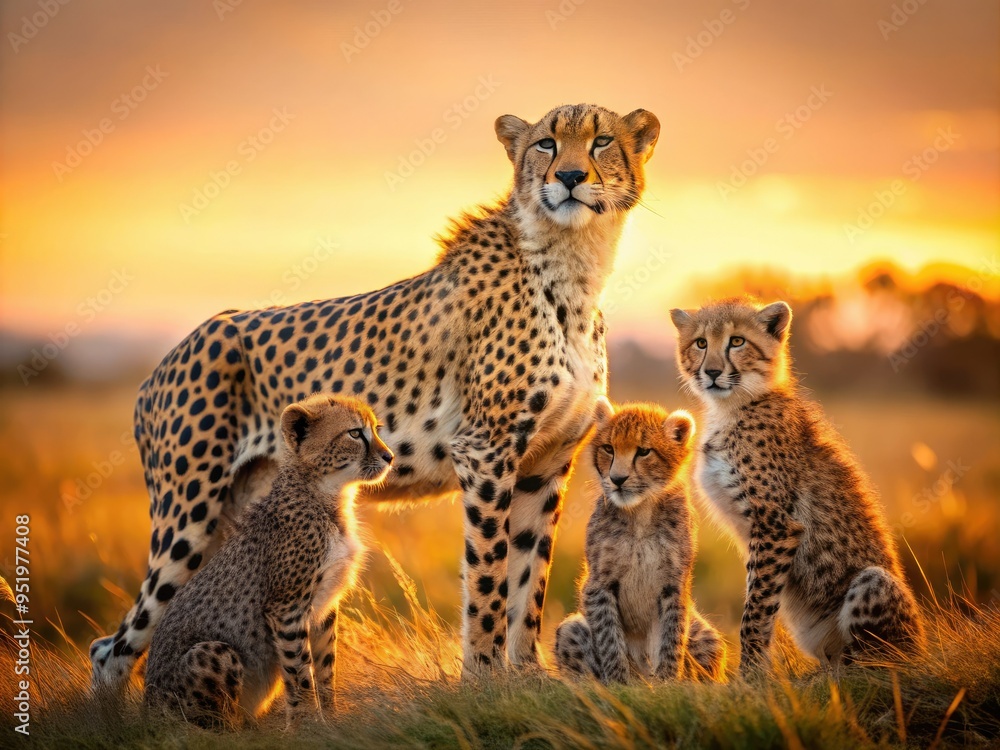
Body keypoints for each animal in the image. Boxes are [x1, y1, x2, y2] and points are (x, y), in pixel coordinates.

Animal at [90, 102, 661, 689]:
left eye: (601, 141)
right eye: (546, 143)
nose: (568, 177)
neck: (575, 265)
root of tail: (171, 354)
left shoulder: (544, 464)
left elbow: (529, 582)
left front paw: (527, 678)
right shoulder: (485, 453)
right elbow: (489, 581)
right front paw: (483, 681)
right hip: (190, 517)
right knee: (112, 648)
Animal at [143, 394, 392, 727]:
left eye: (376, 430)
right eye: (354, 433)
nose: (390, 456)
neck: (326, 496)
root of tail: (146, 708)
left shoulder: (325, 606)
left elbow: (325, 667)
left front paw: (331, 720)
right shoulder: (287, 606)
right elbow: (300, 670)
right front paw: (308, 725)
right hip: (214, 652)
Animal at [554, 398, 727, 684]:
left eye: (644, 452)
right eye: (608, 448)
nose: (617, 479)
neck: (640, 512)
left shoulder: (673, 583)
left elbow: (670, 638)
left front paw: (668, 683)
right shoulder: (599, 583)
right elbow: (609, 639)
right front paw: (620, 685)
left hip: (708, 637)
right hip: (570, 630)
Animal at [670, 297, 925, 676]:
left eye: (737, 341)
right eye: (700, 343)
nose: (712, 372)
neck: (732, 407)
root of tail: (923, 652)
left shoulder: (776, 525)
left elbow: (756, 610)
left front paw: (750, 677)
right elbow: (758, 600)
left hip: (874, 583)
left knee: (875, 665)